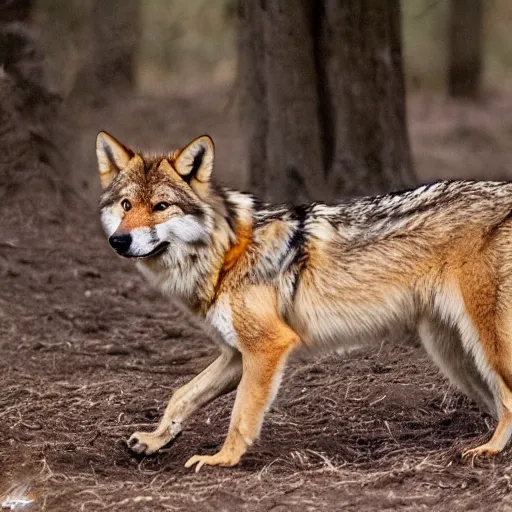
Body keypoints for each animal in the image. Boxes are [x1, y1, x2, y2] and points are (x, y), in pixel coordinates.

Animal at [97, 132, 512, 472]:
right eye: (126, 205)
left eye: (161, 206)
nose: (118, 241)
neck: (226, 253)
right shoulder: (236, 354)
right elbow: (181, 395)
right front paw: (154, 440)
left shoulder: (268, 346)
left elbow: (240, 416)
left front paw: (221, 459)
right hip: (452, 352)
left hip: (484, 343)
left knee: (507, 399)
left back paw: (488, 450)